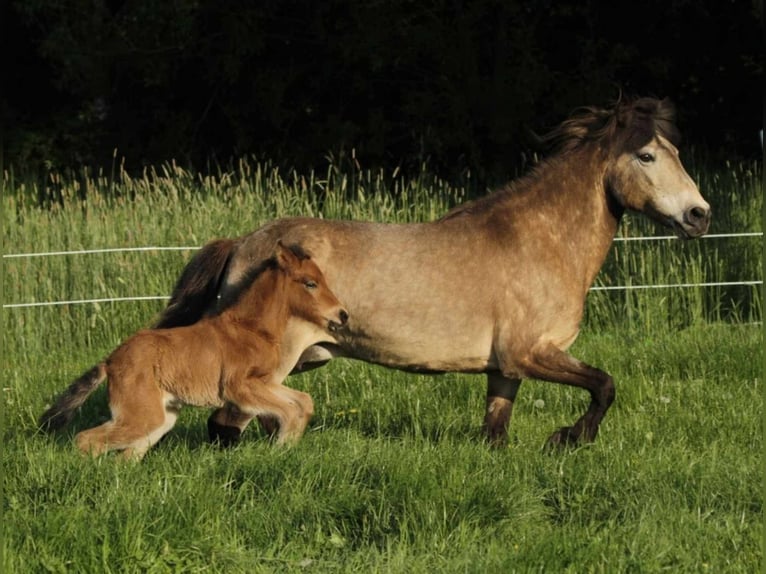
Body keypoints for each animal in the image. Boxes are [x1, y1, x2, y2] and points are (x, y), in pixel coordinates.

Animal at [39, 241, 349, 460]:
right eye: (310, 283)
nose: (343, 315)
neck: (250, 328)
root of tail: (110, 361)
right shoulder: (239, 387)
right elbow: (289, 408)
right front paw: (282, 447)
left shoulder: (265, 382)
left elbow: (303, 402)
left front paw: (287, 446)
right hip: (142, 418)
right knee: (86, 441)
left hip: (159, 419)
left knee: (124, 456)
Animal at [154, 96, 710, 449]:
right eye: (646, 155)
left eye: (677, 152)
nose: (699, 215)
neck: (543, 243)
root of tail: (243, 244)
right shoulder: (532, 353)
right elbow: (604, 385)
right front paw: (569, 439)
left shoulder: (505, 368)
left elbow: (495, 431)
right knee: (226, 424)